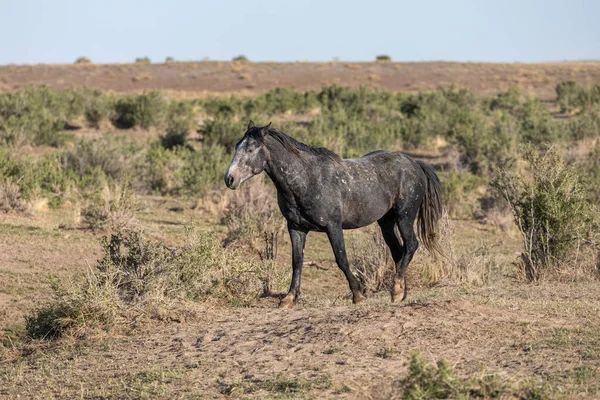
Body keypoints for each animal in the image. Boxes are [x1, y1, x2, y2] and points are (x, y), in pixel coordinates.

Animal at [223, 120, 442, 308]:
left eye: (251, 149)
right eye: (236, 146)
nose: (229, 179)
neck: (306, 179)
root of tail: (415, 163)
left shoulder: (333, 226)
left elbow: (341, 258)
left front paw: (358, 295)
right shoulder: (296, 228)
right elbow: (297, 261)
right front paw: (289, 298)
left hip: (405, 216)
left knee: (411, 245)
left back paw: (396, 290)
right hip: (386, 222)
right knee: (398, 252)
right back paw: (400, 293)